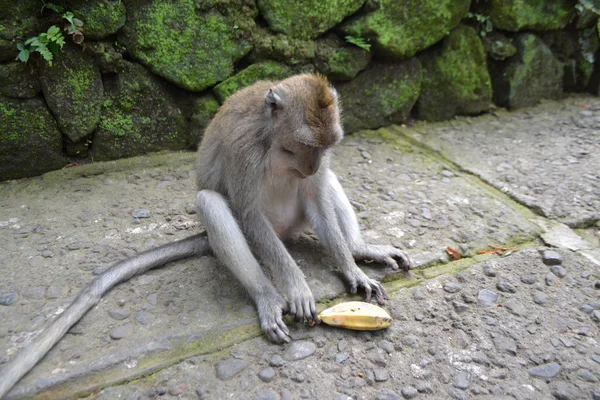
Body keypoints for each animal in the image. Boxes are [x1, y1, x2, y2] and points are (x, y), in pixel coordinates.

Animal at [0, 72, 412, 396]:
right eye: (303, 146)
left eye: (325, 147)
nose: (311, 166)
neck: (271, 137)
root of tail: (287, 232)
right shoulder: (245, 148)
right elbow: (247, 212)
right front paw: (296, 287)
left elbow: (318, 197)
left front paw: (352, 270)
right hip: (264, 230)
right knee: (212, 203)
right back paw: (266, 296)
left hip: (296, 220)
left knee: (325, 187)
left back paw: (359, 248)